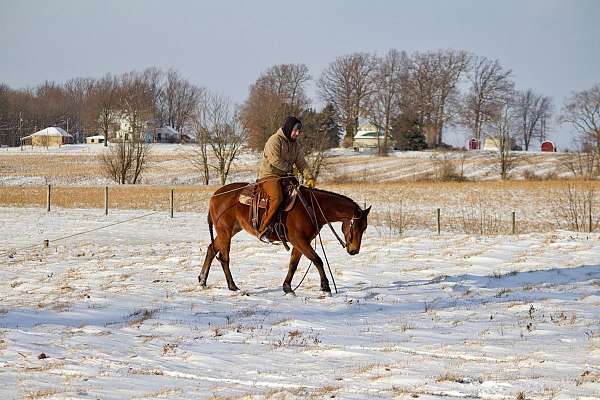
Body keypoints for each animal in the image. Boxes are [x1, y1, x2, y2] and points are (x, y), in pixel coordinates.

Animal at [200, 180, 370, 296]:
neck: (312, 207)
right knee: (224, 257)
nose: (354, 250)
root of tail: (215, 195)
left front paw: (287, 287)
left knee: (211, 249)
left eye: (365, 228)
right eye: (354, 226)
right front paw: (325, 287)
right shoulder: (299, 240)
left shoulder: (302, 242)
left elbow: (293, 264)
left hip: (230, 230)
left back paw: (202, 280)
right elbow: (317, 260)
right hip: (225, 231)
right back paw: (232, 286)